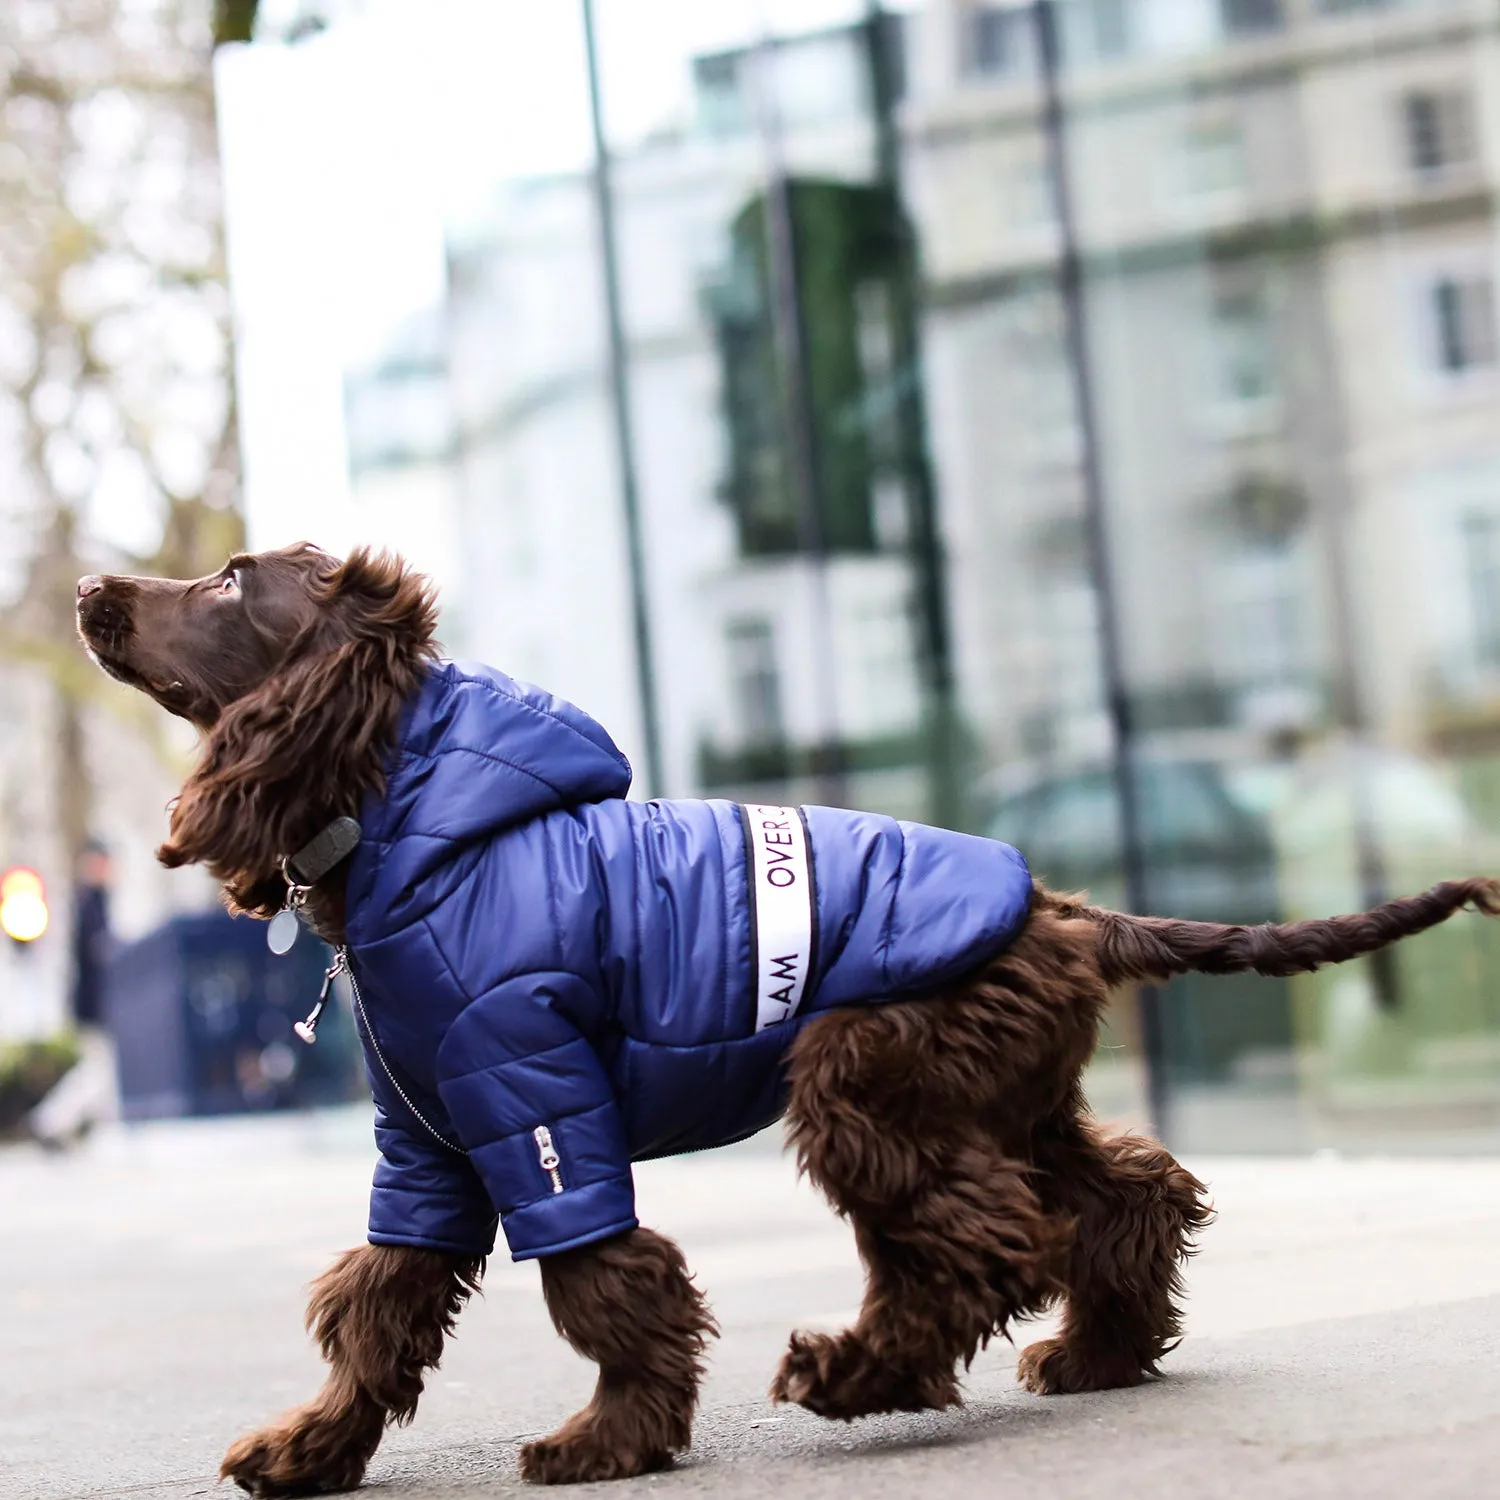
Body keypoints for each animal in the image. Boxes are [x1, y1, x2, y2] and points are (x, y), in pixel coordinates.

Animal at [82, 543, 1500, 1488]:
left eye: (228, 583)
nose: (92, 591)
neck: (406, 817)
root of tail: (1063, 910)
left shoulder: (534, 1094)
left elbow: (605, 1280)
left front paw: (613, 1438)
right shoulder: (429, 1137)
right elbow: (380, 1299)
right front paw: (311, 1446)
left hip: (868, 1071)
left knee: (979, 1241)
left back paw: (856, 1372)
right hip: (1007, 1094)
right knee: (1122, 1195)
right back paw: (1099, 1350)